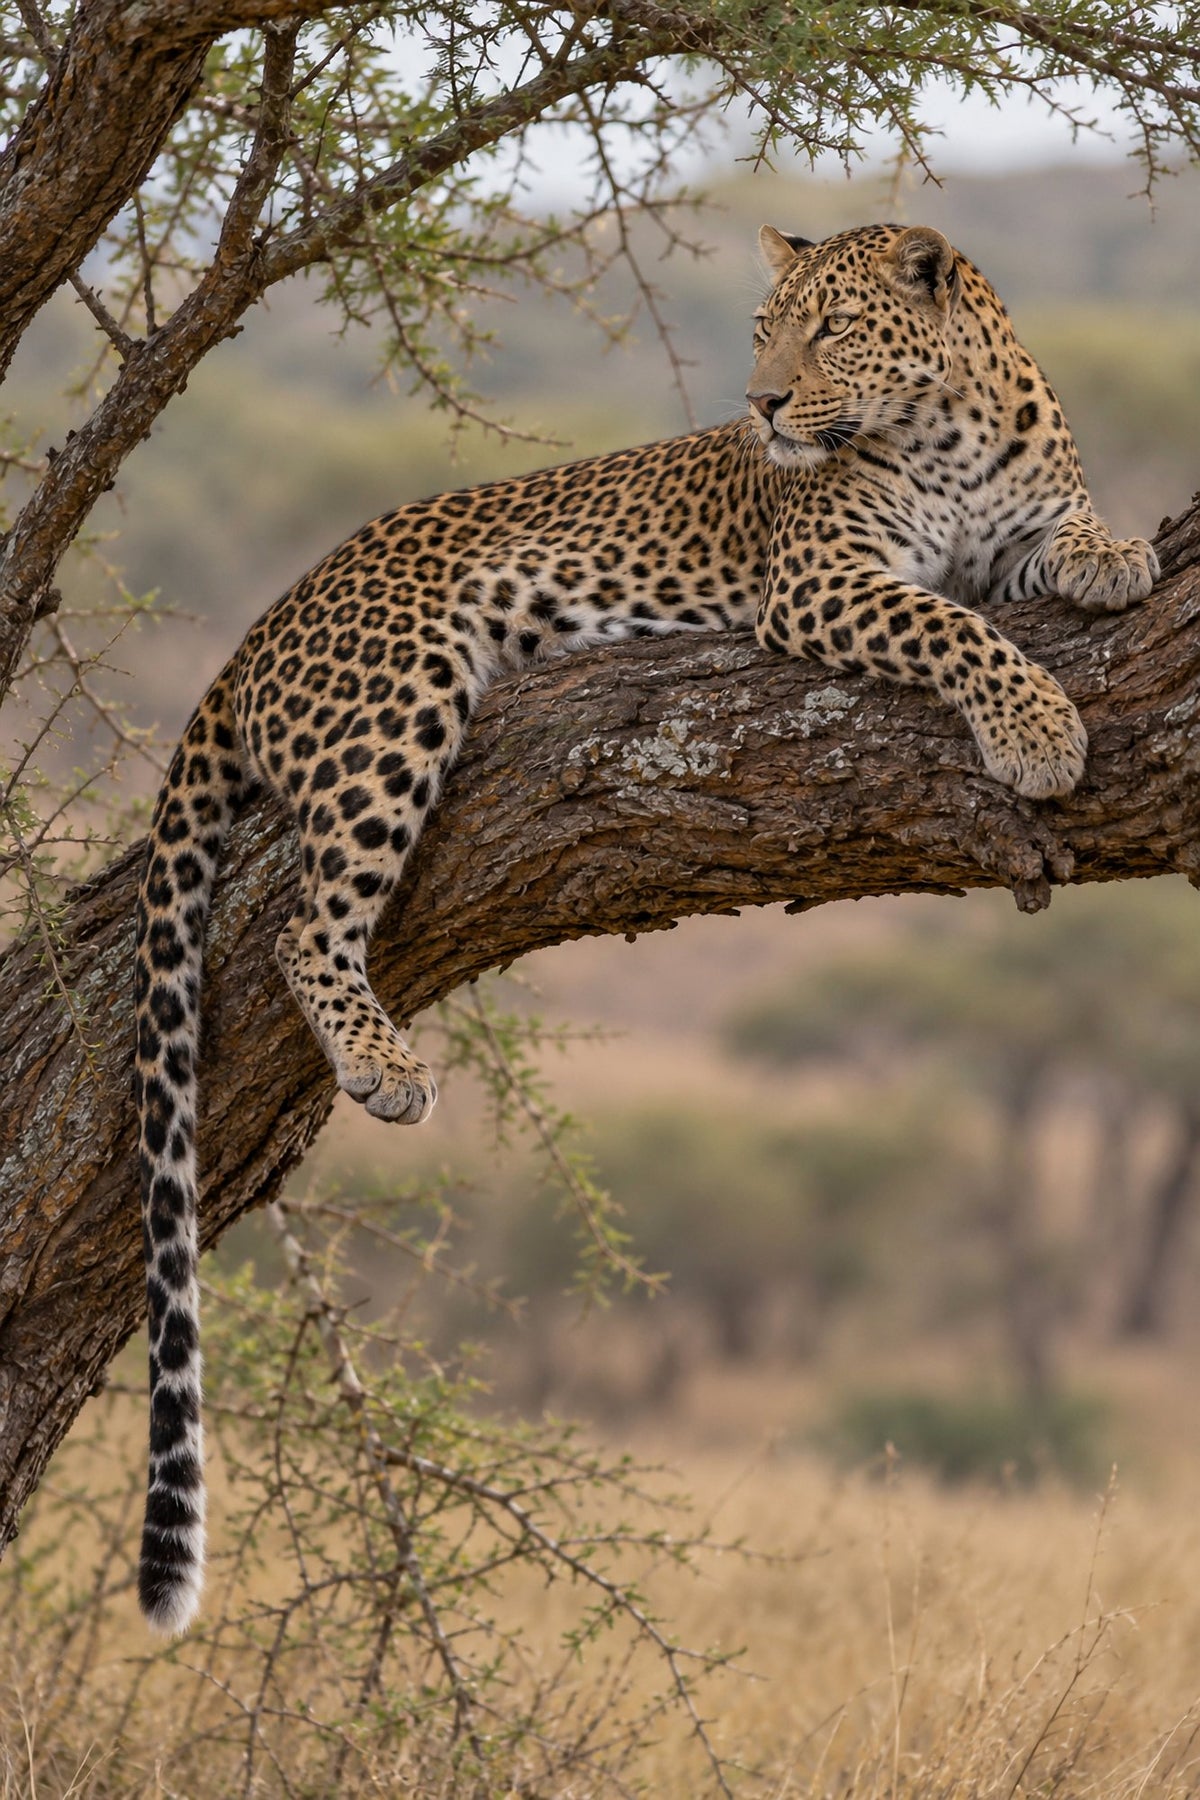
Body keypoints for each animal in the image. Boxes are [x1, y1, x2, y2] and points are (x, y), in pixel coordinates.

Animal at [133, 220, 1159, 1633]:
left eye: (833, 329)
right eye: (766, 330)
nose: (763, 406)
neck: (947, 425)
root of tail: (264, 623)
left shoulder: (1002, 537)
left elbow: (1055, 535)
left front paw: (1115, 555)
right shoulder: (825, 581)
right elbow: (951, 624)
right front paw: (1040, 730)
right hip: (398, 703)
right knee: (303, 924)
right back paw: (383, 1065)